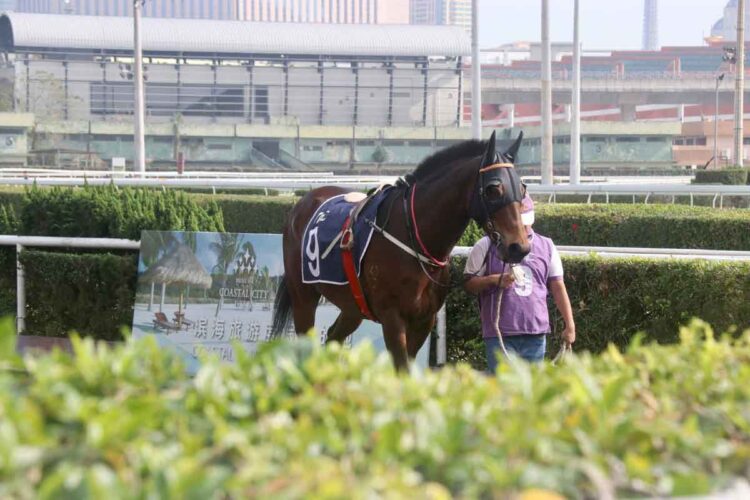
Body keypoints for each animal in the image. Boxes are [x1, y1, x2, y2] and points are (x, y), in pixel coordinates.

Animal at [271, 131, 530, 370]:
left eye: (522, 187)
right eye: (493, 189)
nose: (519, 247)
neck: (414, 236)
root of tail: (303, 203)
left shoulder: (424, 320)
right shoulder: (392, 318)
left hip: (353, 306)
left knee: (333, 337)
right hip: (303, 295)